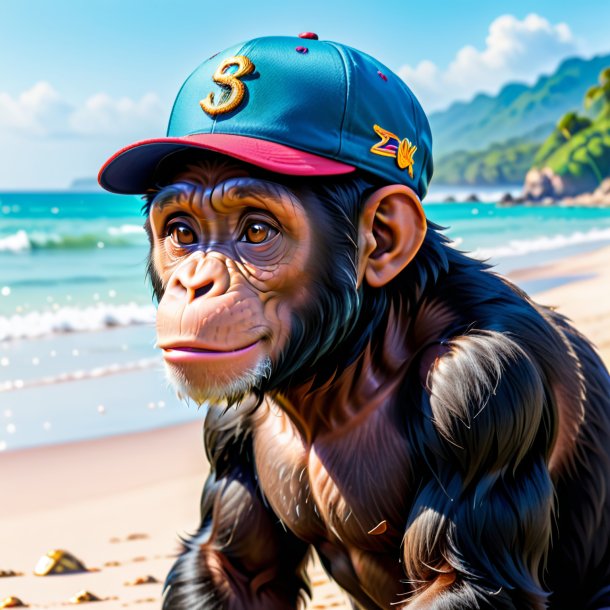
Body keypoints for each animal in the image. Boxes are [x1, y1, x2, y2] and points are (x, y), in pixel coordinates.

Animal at [100, 34, 608, 608]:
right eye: (183, 233)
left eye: (256, 230)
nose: (195, 283)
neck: (352, 357)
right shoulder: (228, 427)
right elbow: (231, 567)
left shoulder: (482, 387)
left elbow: (463, 581)